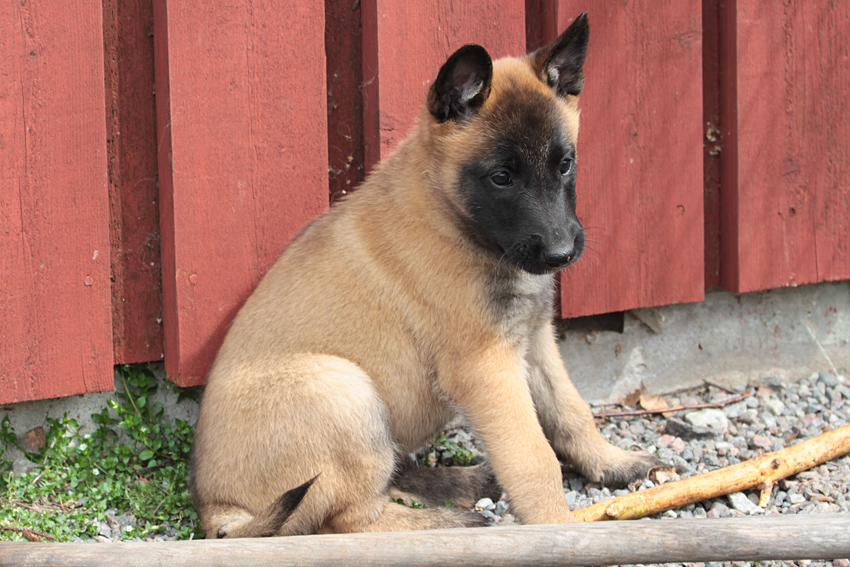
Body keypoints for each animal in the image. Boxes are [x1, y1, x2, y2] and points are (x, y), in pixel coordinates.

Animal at [194, 12, 656, 536]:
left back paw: (459, 485)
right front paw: (557, 529)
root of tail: (216, 508)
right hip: (343, 389)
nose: (561, 253)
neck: (451, 215)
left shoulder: (534, 338)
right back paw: (447, 520)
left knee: (386, 479)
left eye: (565, 165)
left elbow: (571, 409)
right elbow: (533, 457)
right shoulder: (486, 365)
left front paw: (608, 460)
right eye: (501, 177)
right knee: (348, 519)